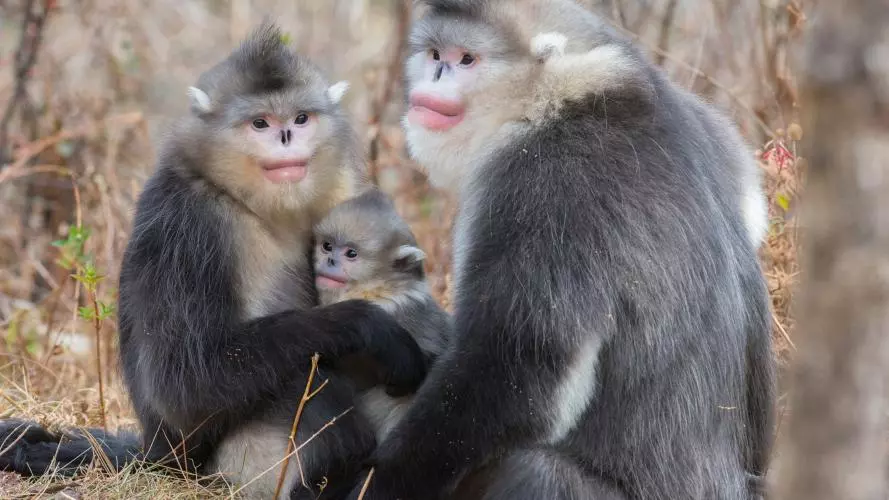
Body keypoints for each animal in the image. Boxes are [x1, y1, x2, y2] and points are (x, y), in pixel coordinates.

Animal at [0, 22, 430, 500]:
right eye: (261, 123)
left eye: (301, 118)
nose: (286, 137)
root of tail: (159, 454)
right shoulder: (189, 223)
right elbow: (185, 387)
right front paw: (371, 327)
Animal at [344, 1, 776, 499]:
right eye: (435, 54)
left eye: (466, 59)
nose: (435, 77)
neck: (564, 95)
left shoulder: (542, 180)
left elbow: (515, 371)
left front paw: (372, 484)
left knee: (531, 469)